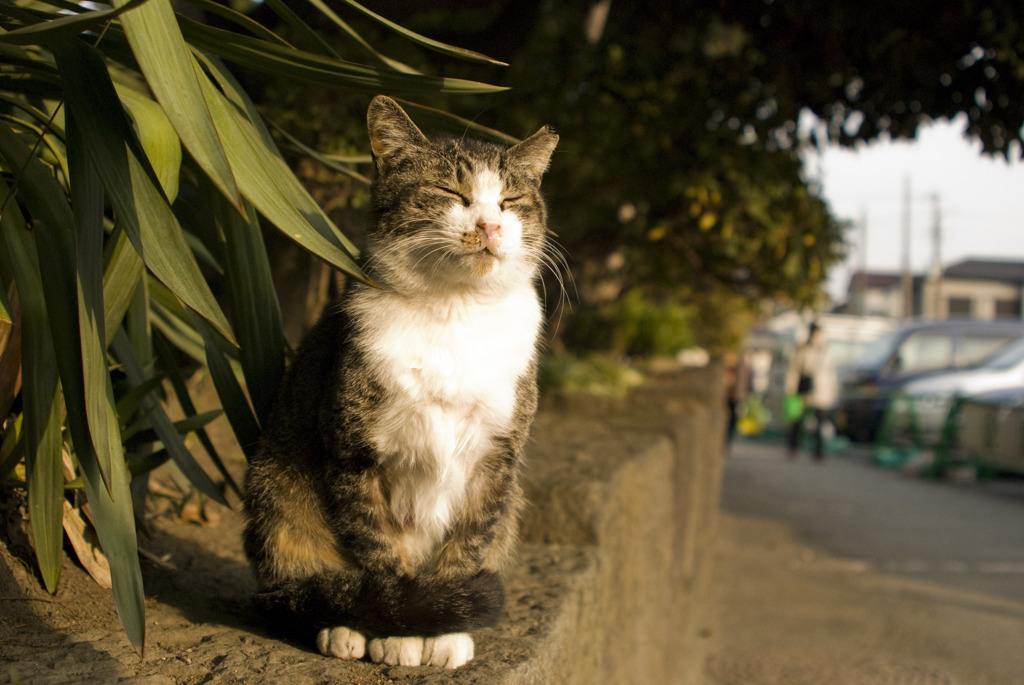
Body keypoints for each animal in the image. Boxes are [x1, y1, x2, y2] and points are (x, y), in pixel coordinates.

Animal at [241, 96, 561, 667]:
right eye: (451, 193)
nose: (490, 226)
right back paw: (343, 626)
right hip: (273, 491)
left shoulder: (495, 461)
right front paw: (399, 630)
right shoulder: (353, 454)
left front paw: (445, 628)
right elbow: (380, 551)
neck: (455, 311)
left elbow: (468, 545)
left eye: (510, 201)